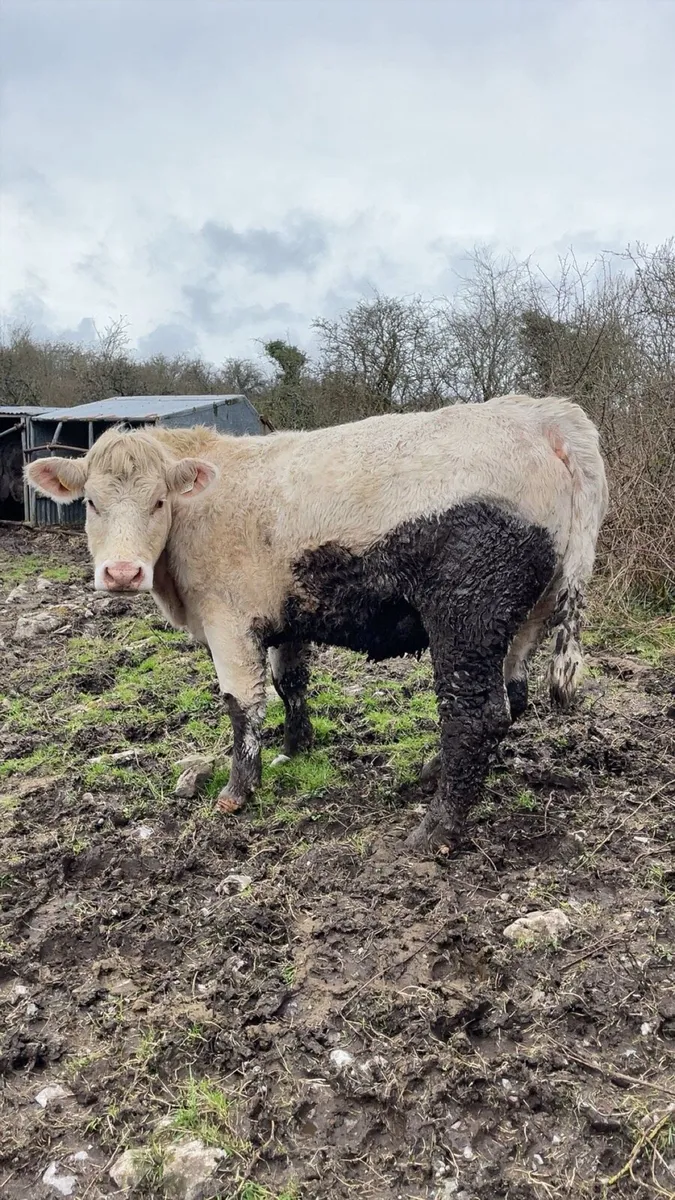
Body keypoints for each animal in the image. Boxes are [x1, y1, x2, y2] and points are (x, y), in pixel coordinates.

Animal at [26, 395, 608, 849]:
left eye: (158, 501)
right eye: (91, 502)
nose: (122, 572)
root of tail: (544, 415)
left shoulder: (228, 621)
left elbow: (242, 705)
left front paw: (237, 792)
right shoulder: (286, 616)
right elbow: (290, 683)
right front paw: (294, 749)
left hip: (467, 615)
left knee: (475, 715)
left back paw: (435, 830)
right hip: (530, 612)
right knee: (513, 696)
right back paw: (432, 773)